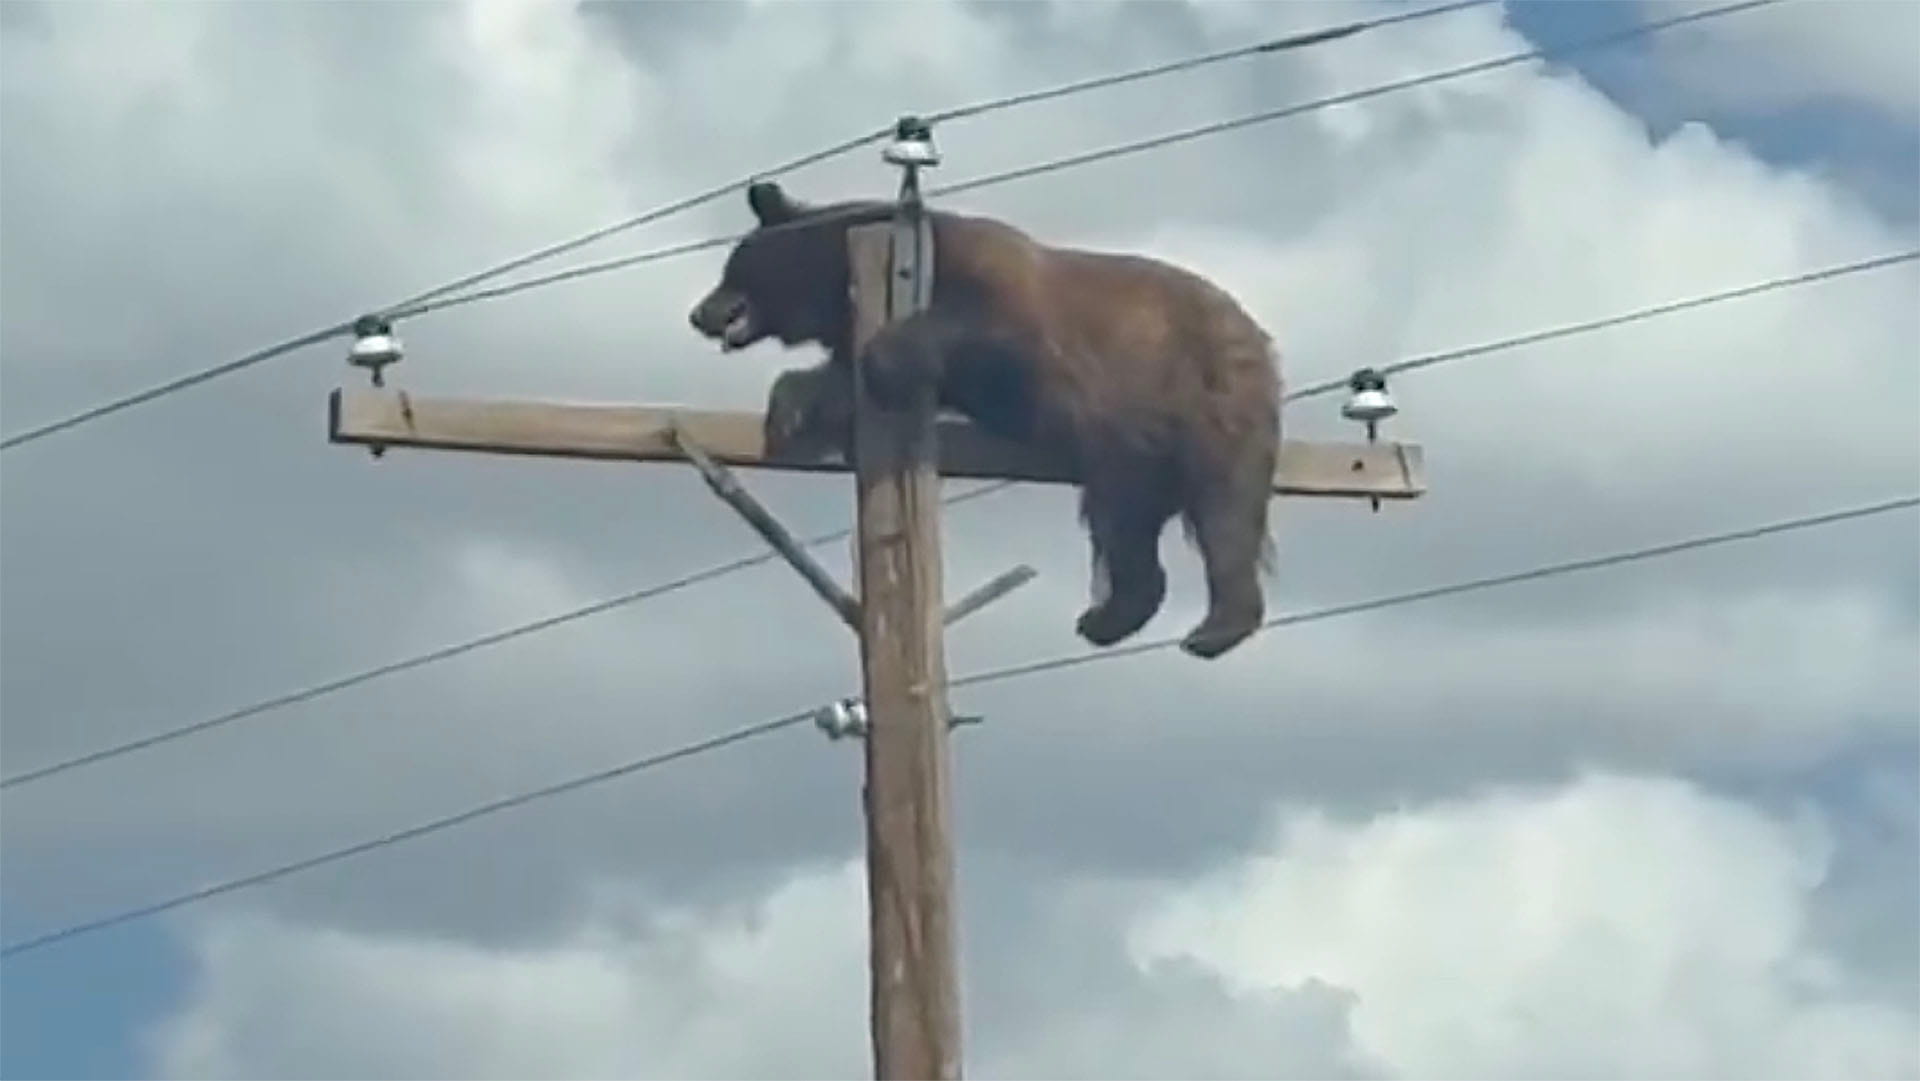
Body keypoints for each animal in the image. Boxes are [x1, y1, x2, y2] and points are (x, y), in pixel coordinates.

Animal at [688, 180, 1281, 660]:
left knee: (1225, 507)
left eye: (729, 268)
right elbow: (835, 380)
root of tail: (1255, 332)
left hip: (1207, 393)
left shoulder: (1002, 298)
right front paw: (790, 408)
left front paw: (881, 367)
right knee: (1123, 521)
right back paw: (1108, 617)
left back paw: (1215, 627)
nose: (699, 313)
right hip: (1130, 449)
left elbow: (983, 331)